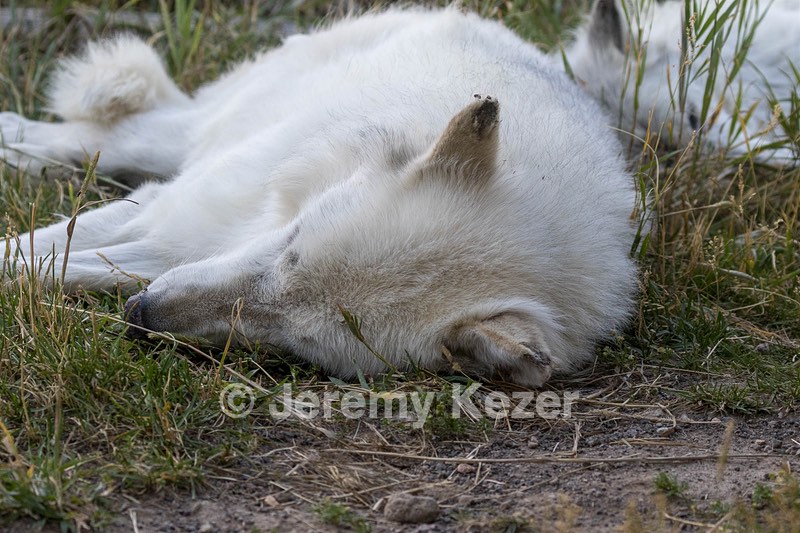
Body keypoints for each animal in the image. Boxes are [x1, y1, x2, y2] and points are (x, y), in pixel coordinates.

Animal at [1, 8, 638, 387]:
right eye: (292, 243)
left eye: (293, 338)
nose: (141, 317)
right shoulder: (172, 215)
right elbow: (26, 250)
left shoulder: (166, 250)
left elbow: (50, 267)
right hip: (197, 133)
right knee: (115, 136)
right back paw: (17, 138)